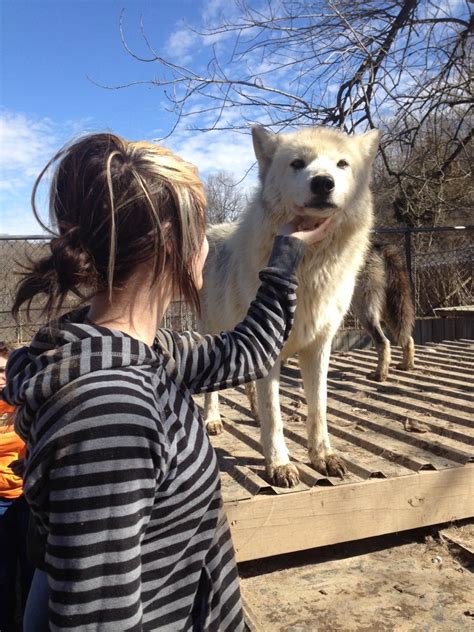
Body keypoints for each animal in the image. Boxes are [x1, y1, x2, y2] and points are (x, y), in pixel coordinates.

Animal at [198, 124, 380, 488]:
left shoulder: (320, 346)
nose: (323, 182)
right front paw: (280, 464)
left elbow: (318, 408)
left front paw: (323, 457)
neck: (309, 269)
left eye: (342, 164)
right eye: (297, 164)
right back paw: (213, 420)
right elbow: (275, 416)